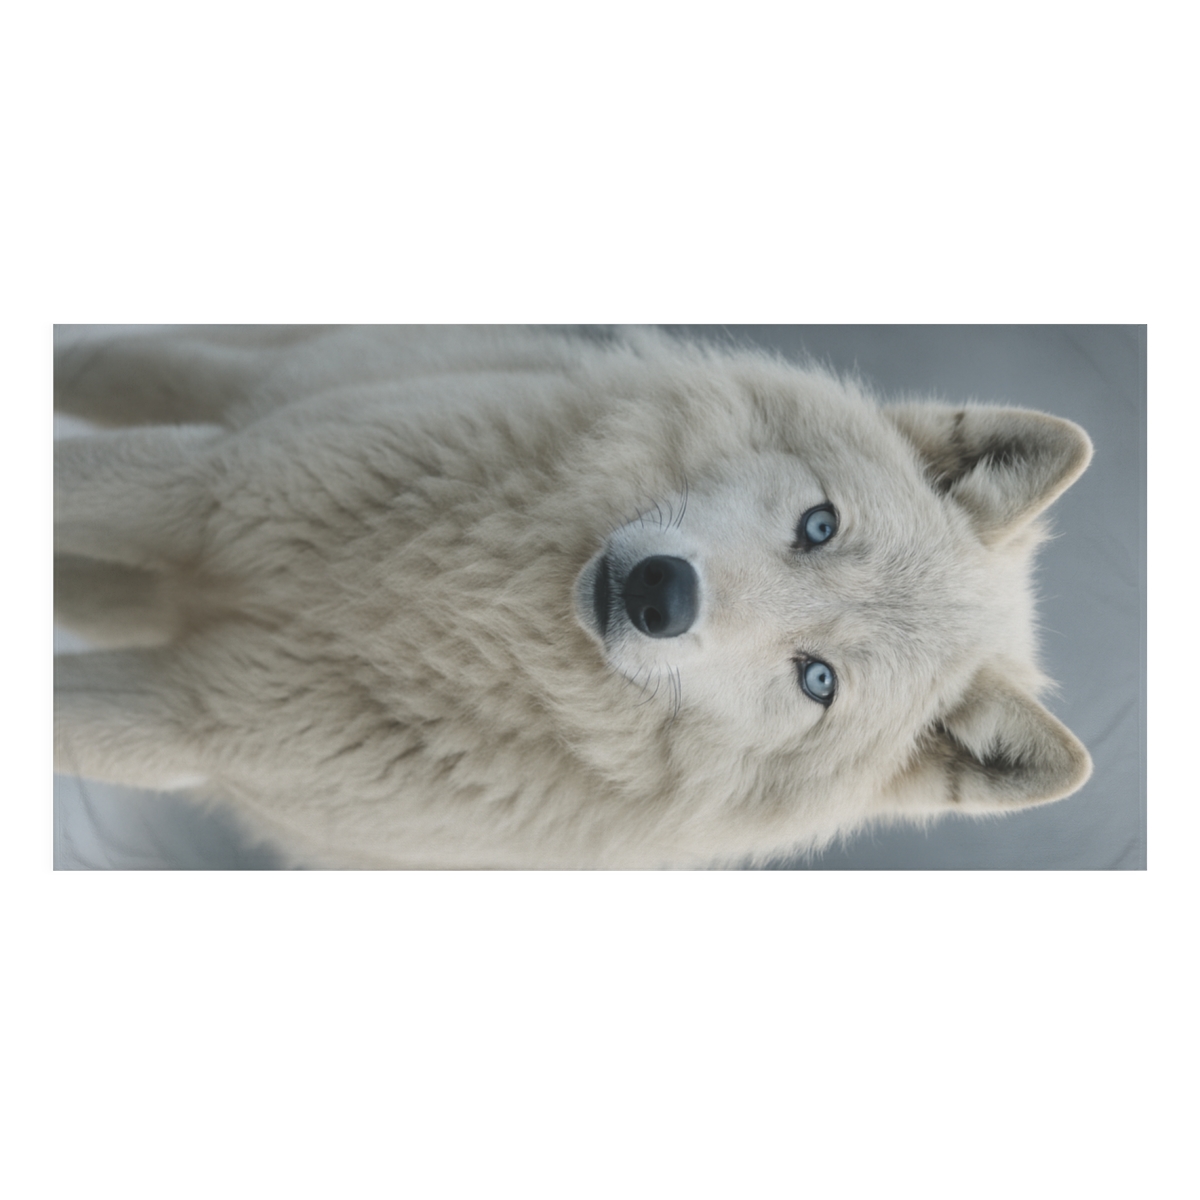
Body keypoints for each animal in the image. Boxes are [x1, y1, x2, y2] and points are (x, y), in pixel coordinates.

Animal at [53, 325, 1093, 868]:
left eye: (819, 681)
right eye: (820, 525)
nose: (659, 593)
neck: (466, 607)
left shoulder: (189, 720)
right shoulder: (205, 486)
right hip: (246, 398)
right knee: (122, 369)